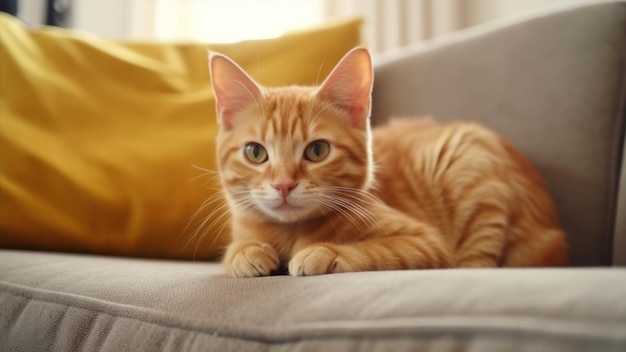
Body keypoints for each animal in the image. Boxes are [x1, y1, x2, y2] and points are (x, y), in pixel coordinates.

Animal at [207, 46, 568, 278]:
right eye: (255, 153)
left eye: (317, 151)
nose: (283, 185)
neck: (290, 232)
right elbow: (238, 248)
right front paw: (246, 253)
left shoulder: (425, 243)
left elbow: (377, 251)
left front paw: (323, 251)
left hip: (470, 166)